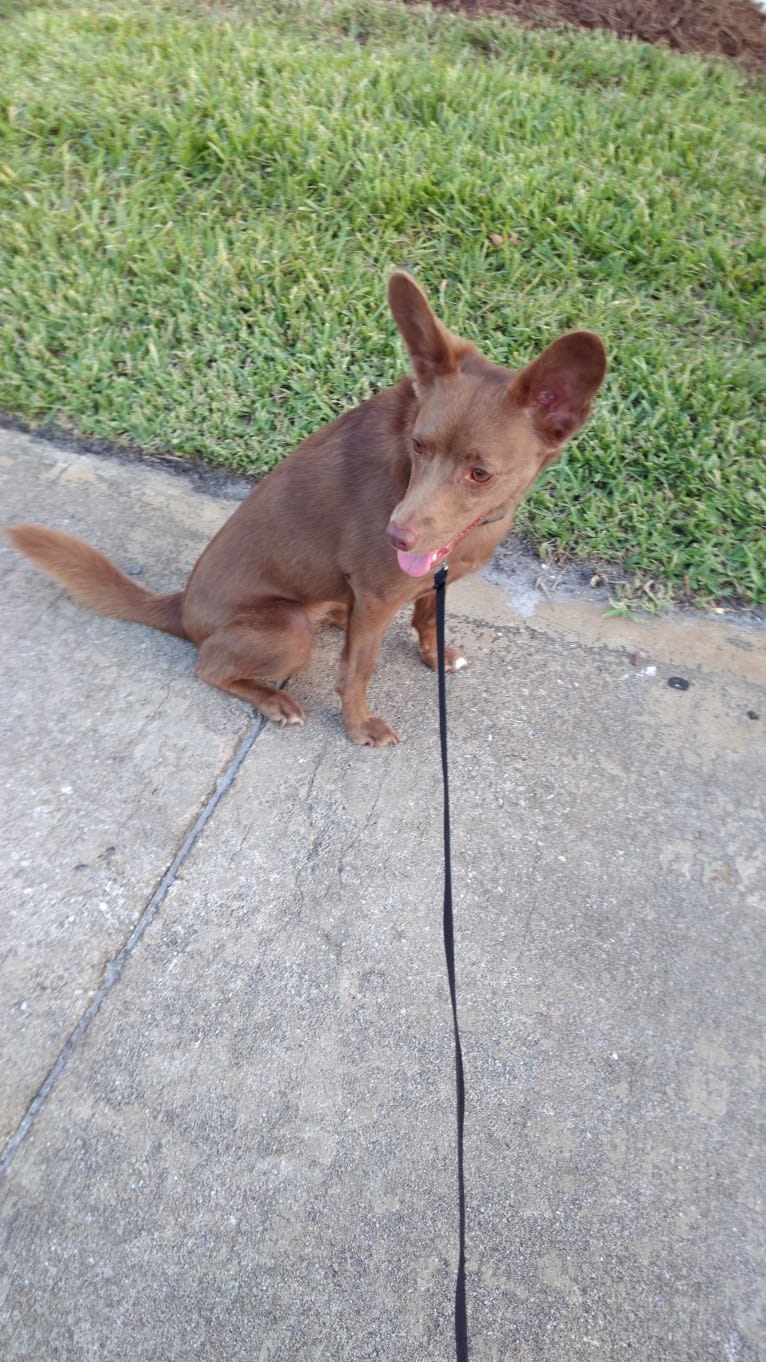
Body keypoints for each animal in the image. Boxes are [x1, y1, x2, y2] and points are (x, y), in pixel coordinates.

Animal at [5, 269, 602, 746]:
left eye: (480, 473)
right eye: (418, 445)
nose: (396, 538)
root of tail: (181, 606)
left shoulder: (434, 579)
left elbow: (427, 617)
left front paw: (435, 656)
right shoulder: (380, 595)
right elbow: (356, 671)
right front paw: (360, 727)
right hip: (287, 629)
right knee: (208, 665)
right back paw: (275, 700)